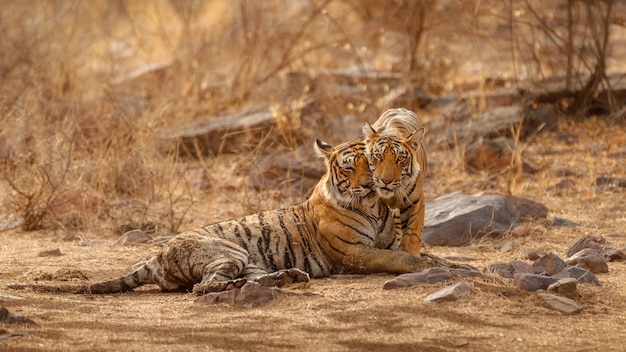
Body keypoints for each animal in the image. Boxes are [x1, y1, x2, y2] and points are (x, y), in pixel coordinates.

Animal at [12, 137, 466, 294]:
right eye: (347, 167)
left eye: (369, 163)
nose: (369, 184)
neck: (372, 207)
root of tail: (155, 256)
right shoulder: (357, 255)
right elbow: (401, 258)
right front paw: (428, 267)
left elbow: (430, 255)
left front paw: (461, 267)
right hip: (227, 251)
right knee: (203, 288)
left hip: (248, 260)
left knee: (240, 280)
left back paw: (288, 278)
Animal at [360, 106, 424, 258]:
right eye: (378, 155)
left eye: (400, 158)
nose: (386, 180)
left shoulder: (416, 201)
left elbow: (413, 231)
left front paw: (411, 254)